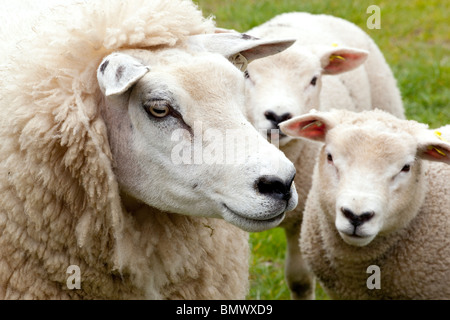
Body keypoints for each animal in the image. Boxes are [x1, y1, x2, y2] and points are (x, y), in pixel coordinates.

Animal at [244, 11, 406, 298]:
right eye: (247, 74)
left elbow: (299, 279)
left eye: (313, 80)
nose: (278, 116)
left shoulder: (303, 219)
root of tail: (304, 13)